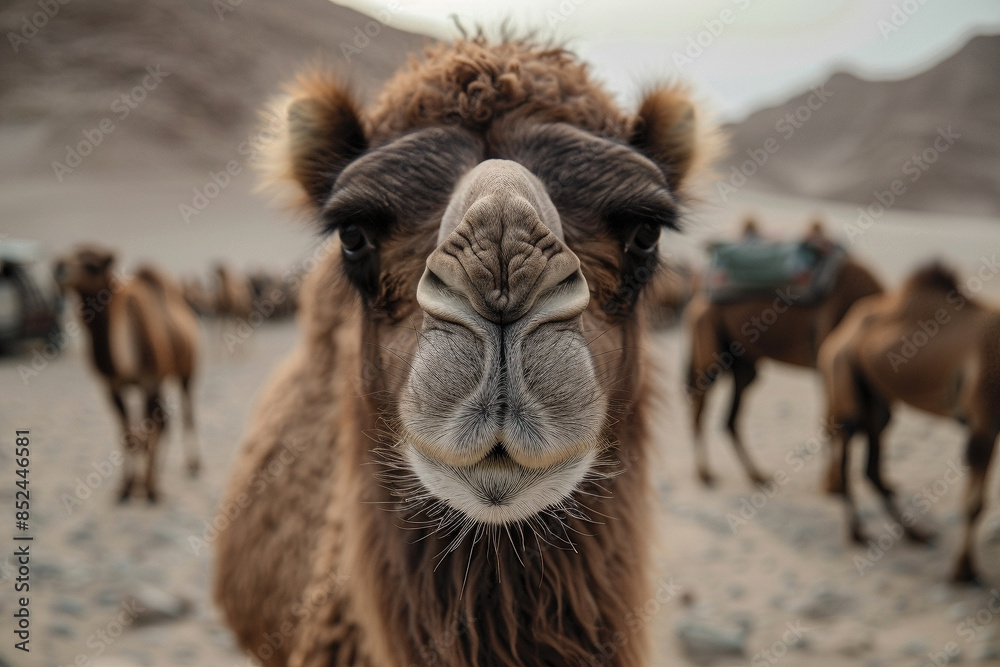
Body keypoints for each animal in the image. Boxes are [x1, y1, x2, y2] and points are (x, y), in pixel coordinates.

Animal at [54, 245, 201, 501]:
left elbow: (144, 433)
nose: (60, 267)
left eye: (92, 265)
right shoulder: (112, 386)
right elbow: (128, 435)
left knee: (185, 413)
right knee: (164, 420)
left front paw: (148, 488)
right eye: (68, 255)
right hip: (163, 380)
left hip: (186, 371)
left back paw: (192, 466)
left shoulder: (148, 382)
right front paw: (126, 488)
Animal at [686, 220, 883, 485]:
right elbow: (832, 422)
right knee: (699, 403)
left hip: (744, 364)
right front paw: (830, 483)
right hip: (711, 348)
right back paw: (704, 473)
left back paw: (756, 475)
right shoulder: (829, 365)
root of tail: (698, 295)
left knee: (730, 418)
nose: (879, 479)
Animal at [819, 263, 1000, 583]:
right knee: (845, 459)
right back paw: (857, 533)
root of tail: (839, 333)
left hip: (877, 403)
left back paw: (915, 534)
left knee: (872, 469)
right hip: (845, 383)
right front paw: (963, 571)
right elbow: (974, 504)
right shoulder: (983, 421)